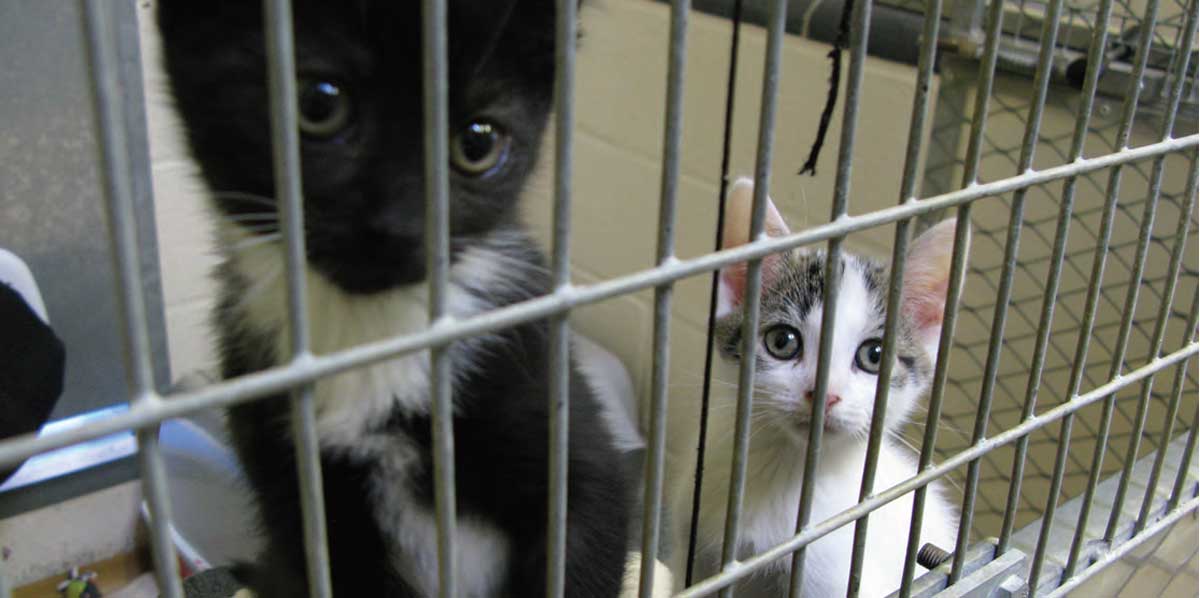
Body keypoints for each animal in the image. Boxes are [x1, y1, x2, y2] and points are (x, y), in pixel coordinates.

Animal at [153, 2, 628, 595]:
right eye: (318, 104)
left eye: (478, 144)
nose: (399, 227)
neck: (372, 331)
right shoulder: (285, 478)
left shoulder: (549, 396)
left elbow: (587, 520)